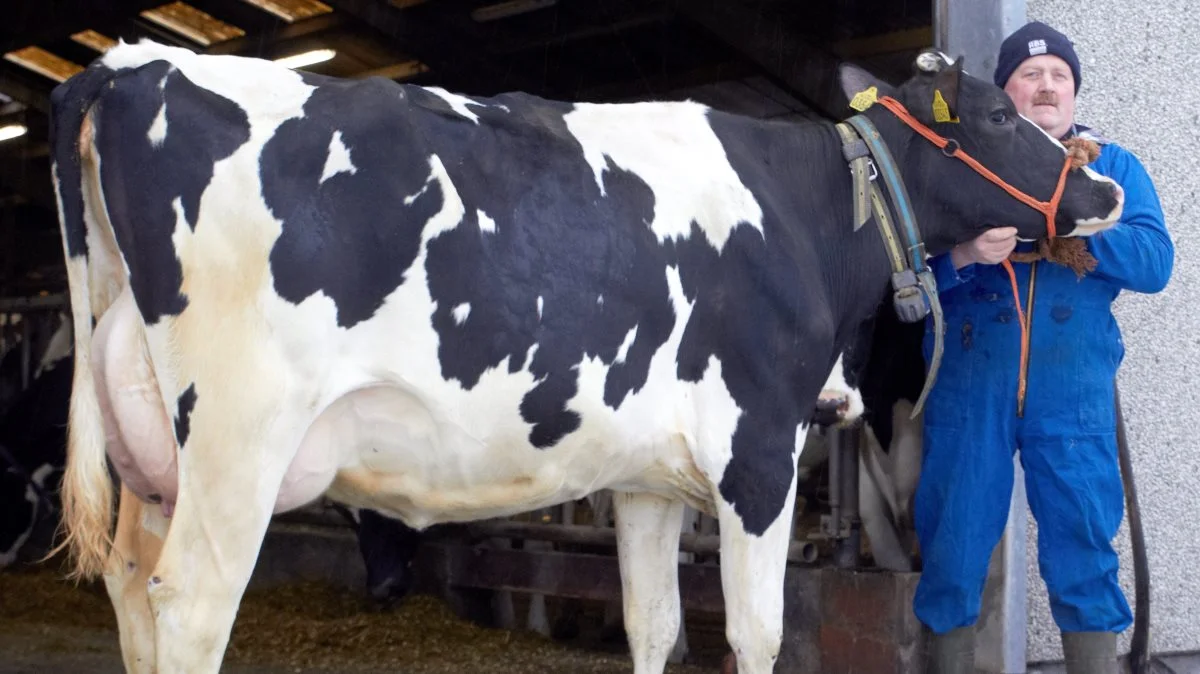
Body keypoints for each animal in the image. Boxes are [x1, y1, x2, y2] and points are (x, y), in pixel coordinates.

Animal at [42, 41, 1118, 671]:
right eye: (1000, 117)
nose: (1103, 187)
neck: (809, 208)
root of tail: (132, 65)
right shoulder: (759, 456)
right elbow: (757, 629)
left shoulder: (643, 478)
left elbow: (655, 624)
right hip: (239, 437)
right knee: (190, 605)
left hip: (153, 454)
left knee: (132, 587)